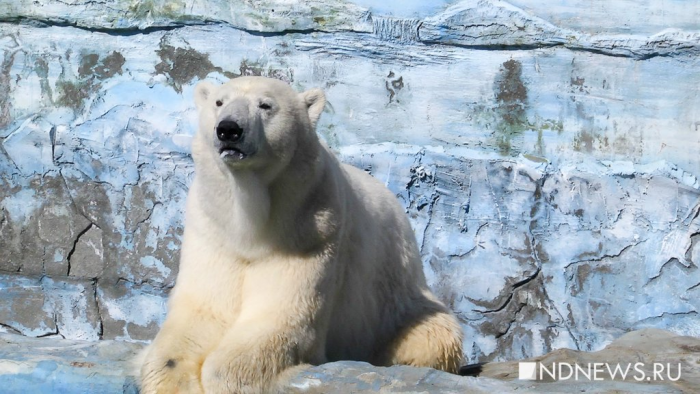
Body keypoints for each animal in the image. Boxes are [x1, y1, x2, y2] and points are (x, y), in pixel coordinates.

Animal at [139, 75, 462, 392]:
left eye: (265, 105)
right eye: (219, 102)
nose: (228, 129)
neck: (250, 222)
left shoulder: (310, 228)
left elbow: (281, 318)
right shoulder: (212, 231)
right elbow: (202, 313)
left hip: (398, 303)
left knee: (431, 338)